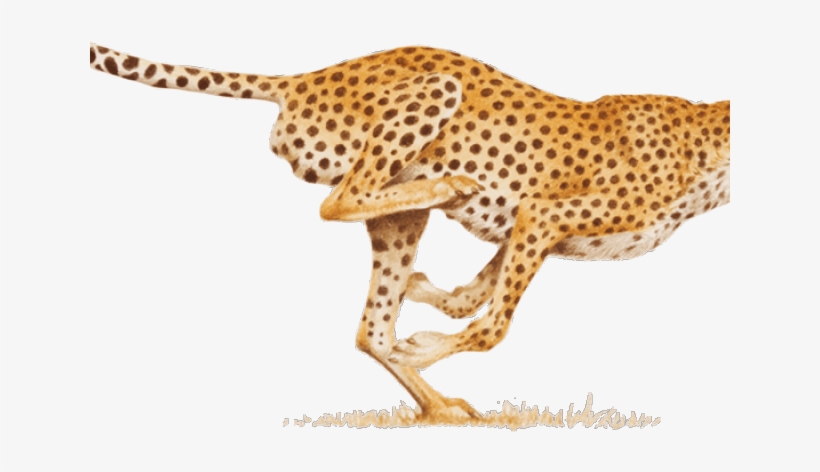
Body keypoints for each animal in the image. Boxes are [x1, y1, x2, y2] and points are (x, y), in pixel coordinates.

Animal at [89, 43, 730, 420]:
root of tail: (307, 75)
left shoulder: (534, 226)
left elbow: (474, 296)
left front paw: (426, 306)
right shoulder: (543, 216)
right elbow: (494, 324)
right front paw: (423, 346)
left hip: (396, 219)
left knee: (370, 328)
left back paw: (438, 407)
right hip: (435, 90)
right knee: (337, 200)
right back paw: (450, 185)